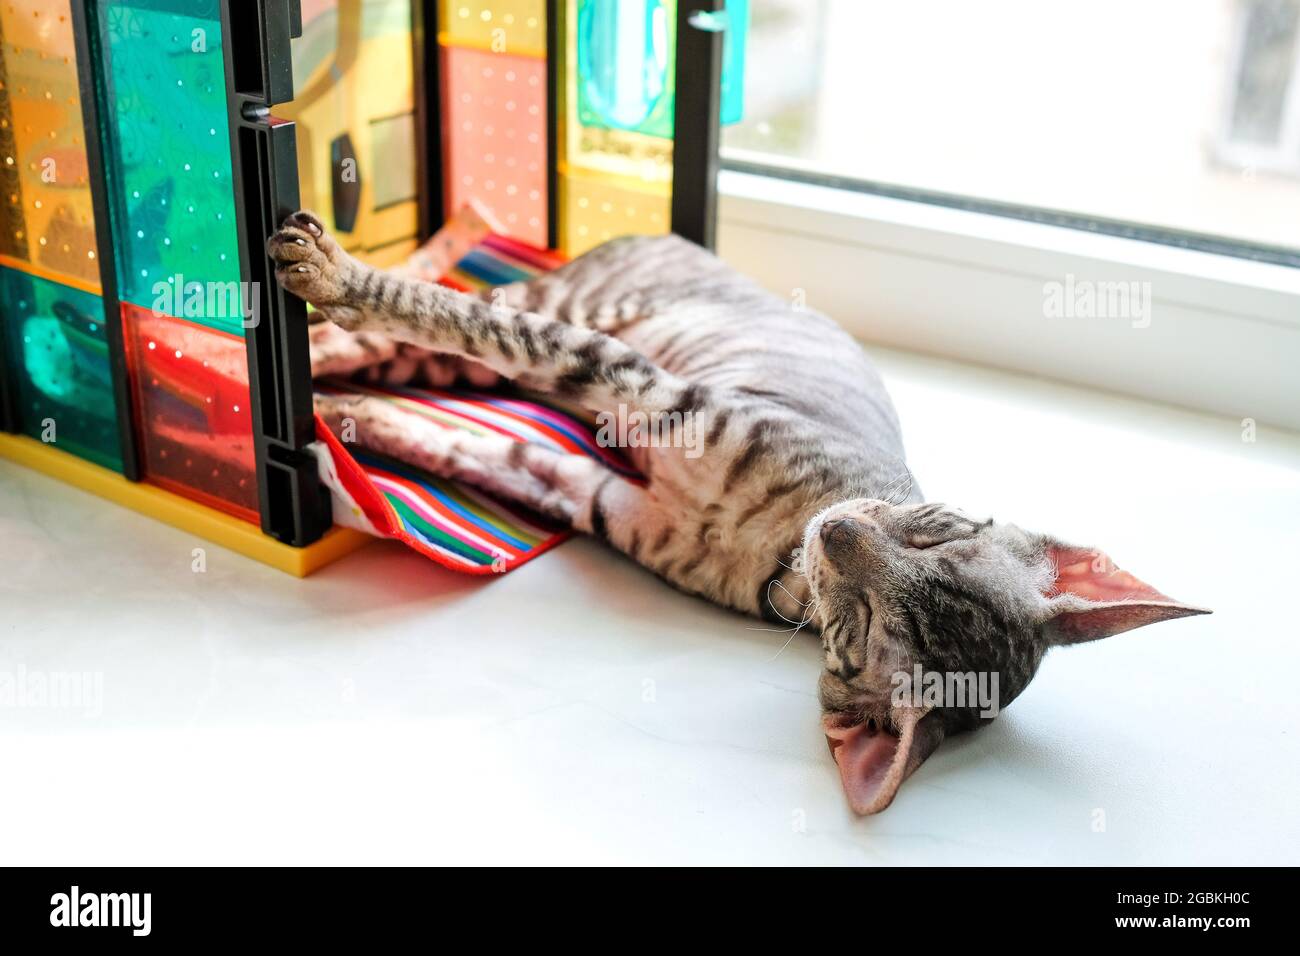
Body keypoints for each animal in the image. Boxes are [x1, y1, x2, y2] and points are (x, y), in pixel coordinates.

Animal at [266, 213, 1206, 816]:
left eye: (865, 624)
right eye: (931, 527)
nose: (839, 531)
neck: (776, 542)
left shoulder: (592, 491)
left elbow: (478, 452)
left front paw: (361, 426)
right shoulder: (637, 383)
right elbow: (448, 314)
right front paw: (336, 287)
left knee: (422, 357)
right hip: (575, 315)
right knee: (440, 324)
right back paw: (300, 319)